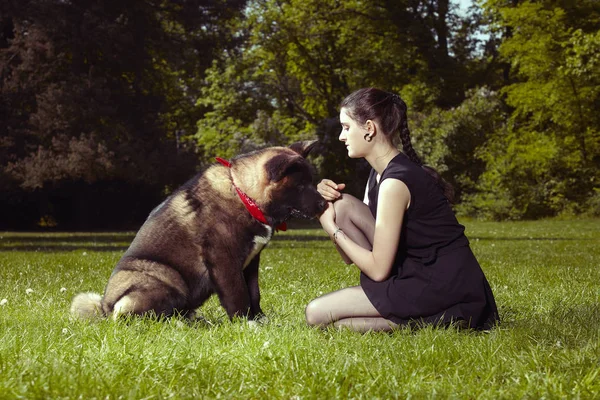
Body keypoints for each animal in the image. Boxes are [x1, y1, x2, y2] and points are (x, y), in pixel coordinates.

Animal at [70, 141, 328, 322]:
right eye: (301, 185)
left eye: (312, 182)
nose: (324, 204)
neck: (245, 195)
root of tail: (104, 307)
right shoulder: (224, 261)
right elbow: (238, 295)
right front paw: (246, 324)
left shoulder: (252, 261)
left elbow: (254, 293)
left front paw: (260, 320)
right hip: (165, 278)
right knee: (135, 316)